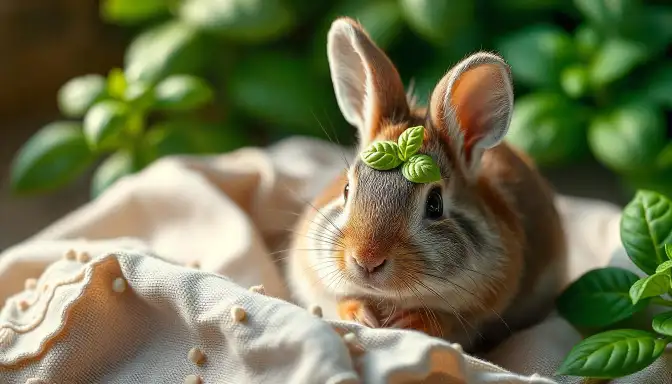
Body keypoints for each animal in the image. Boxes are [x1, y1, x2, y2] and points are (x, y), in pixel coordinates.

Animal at [284, 18, 568, 354]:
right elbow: (341, 299)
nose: (366, 260)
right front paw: (361, 314)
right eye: (347, 190)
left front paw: (411, 321)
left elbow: (445, 321)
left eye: (435, 204)